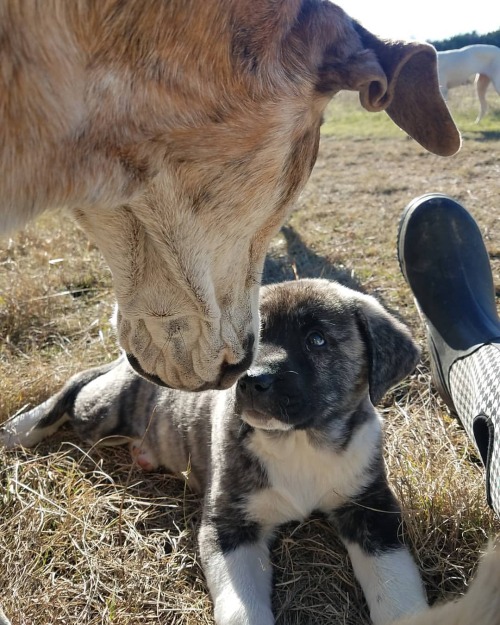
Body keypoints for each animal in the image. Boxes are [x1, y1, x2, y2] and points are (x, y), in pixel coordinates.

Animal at [1, 280, 428, 624]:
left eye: (317, 339)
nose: (249, 380)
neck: (300, 443)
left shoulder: (370, 508)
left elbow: (396, 585)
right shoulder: (228, 527)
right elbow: (242, 607)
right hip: (100, 413)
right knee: (73, 388)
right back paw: (20, 429)